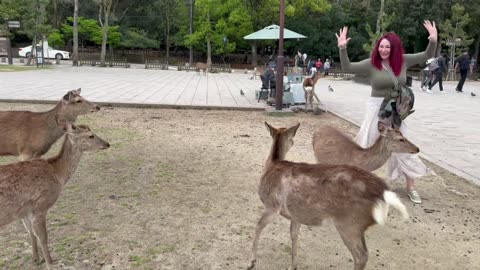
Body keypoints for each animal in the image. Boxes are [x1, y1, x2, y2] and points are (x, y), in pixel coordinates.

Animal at [0, 117, 109, 270]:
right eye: (90, 135)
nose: (107, 144)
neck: (57, 174)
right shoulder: (40, 206)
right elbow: (43, 237)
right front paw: (50, 263)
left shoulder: (24, 210)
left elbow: (30, 232)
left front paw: (36, 259)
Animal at [248, 122, 408, 270]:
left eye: (291, 137)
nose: (293, 142)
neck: (272, 165)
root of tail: (384, 193)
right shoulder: (296, 214)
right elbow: (294, 236)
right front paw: (292, 265)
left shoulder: (272, 205)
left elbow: (258, 226)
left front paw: (252, 261)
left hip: (350, 223)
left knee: (361, 255)